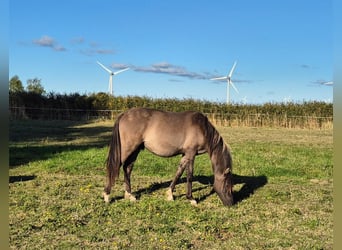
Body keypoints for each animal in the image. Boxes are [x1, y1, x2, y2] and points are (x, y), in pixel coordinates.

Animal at [103, 106, 234, 206]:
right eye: (228, 185)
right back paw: (107, 195)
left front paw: (170, 194)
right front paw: (191, 198)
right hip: (127, 149)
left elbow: (179, 172)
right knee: (114, 167)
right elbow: (189, 175)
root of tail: (124, 114)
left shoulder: (185, 154)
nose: (231, 203)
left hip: (135, 150)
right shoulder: (191, 154)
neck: (203, 128)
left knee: (127, 168)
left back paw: (129, 195)